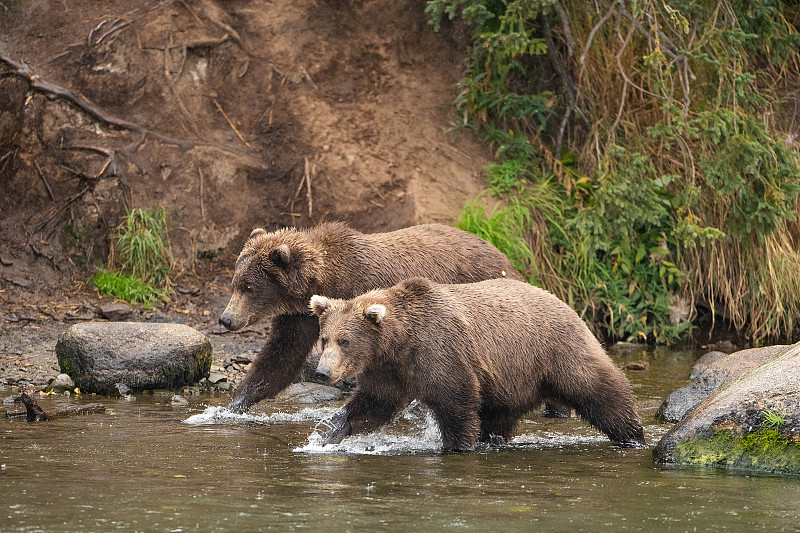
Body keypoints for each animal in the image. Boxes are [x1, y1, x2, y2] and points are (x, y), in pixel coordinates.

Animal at [217, 220, 524, 412]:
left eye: (249, 287)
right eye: (235, 283)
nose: (226, 319)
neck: (324, 281)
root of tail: (506, 258)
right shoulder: (301, 317)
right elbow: (280, 356)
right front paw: (232, 405)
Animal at [310, 276, 648, 450]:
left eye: (345, 341)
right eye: (325, 339)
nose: (323, 372)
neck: (400, 342)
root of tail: (562, 300)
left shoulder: (440, 351)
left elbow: (456, 402)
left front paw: (456, 445)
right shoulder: (389, 370)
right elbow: (374, 404)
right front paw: (328, 431)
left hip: (553, 350)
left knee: (598, 388)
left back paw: (632, 435)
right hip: (512, 379)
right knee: (499, 415)